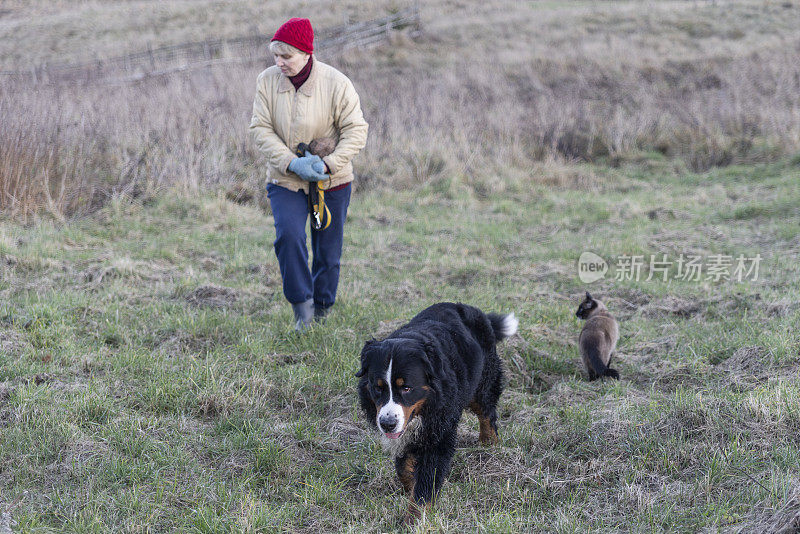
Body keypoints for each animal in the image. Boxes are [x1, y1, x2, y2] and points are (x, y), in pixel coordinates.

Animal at [356, 306, 520, 524]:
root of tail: (473, 310)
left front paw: (414, 520)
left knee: (487, 412)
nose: (387, 423)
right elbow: (403, 467)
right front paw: (409, 485)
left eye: (406, 388)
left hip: (482, 383)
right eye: (377, 388)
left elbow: (426, 482)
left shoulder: (439, 435)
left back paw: (488, 442)